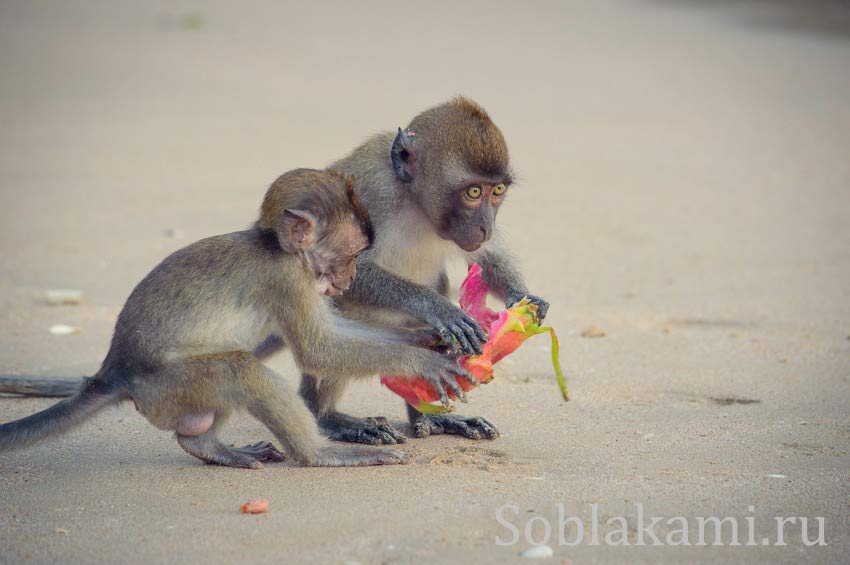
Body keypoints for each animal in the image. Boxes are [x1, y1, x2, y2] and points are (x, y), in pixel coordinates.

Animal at [0, 167, 470, 468]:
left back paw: (204, 444)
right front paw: (425, 360)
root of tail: (115, 371)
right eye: (354, 254)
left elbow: (333, 331)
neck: (279, 248)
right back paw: (319, 455)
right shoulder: (285, 280)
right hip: (168, 387)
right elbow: (319, 351)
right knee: (240, 368)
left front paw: (425, 337)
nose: (349, 279)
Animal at [294, 99, 548, 448]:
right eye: (473, 192)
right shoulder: (373, 191)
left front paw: (523, 298)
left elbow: (488, 256)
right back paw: (327, 417)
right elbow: (342, 272)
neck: (415, 202)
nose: (486, 225)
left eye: (496, 190)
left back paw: (428, 415)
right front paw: (438, 307)